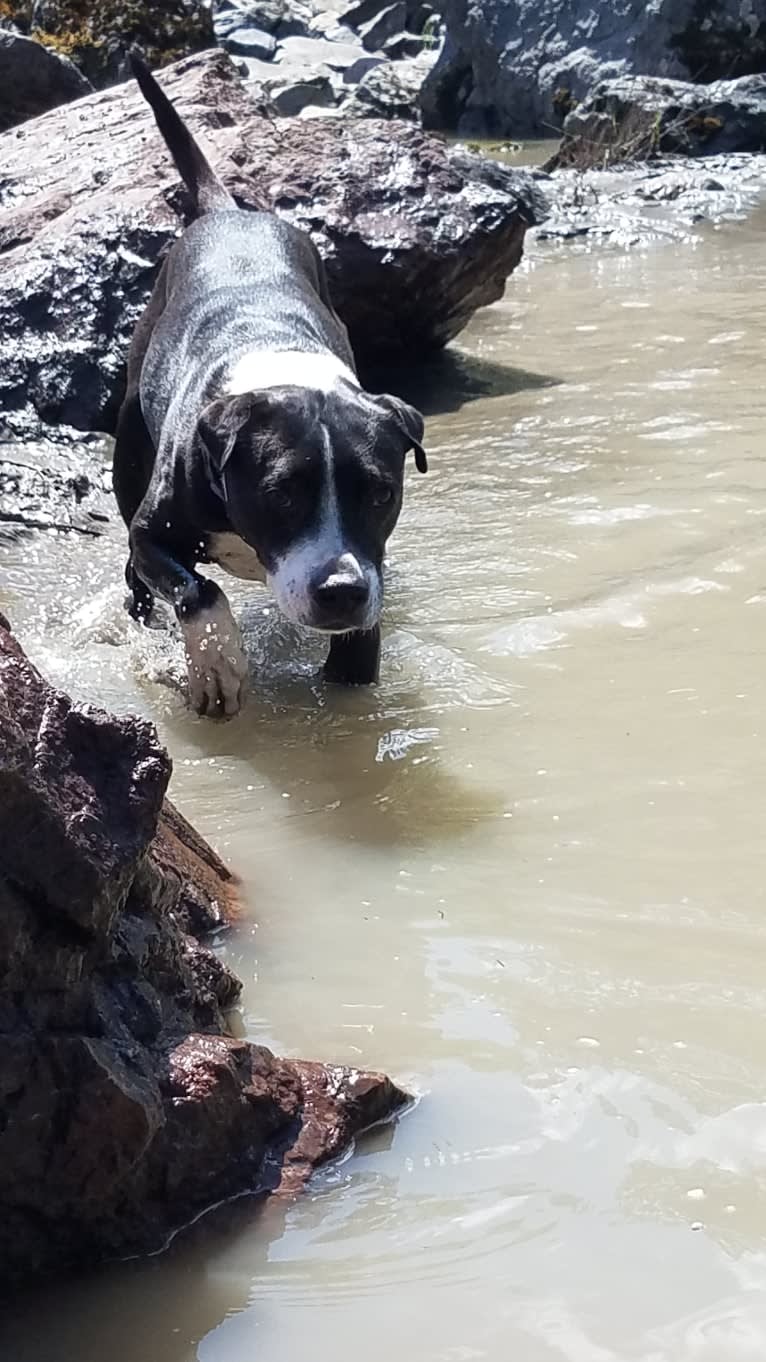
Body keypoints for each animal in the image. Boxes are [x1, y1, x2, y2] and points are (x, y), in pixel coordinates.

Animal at [112, 55, 425, 713]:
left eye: (381, 494)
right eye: (282, 493)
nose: (340, 590)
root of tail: (227, 211)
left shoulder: (371, 574)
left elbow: (357, 658)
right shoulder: (153, 535)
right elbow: (198, 592)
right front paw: (216, 665)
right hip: (128, 457)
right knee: (139, 580)